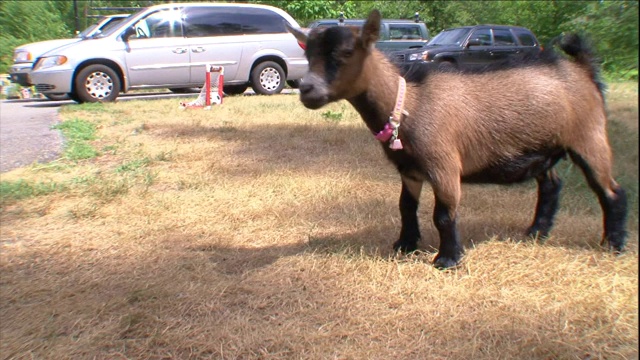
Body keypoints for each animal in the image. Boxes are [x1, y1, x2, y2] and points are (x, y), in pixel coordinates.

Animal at [284, 10, 624, 268]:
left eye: (344, 53)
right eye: (308, 54)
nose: (307, 90)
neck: (409, 101)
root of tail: (583, 70)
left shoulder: (443, 164)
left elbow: (444, 215)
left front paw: (447, 260)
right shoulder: (409, 168)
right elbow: (405, 206)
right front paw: (404, 245)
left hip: (589, 135)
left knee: (611, 191)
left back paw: (613, 245)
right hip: (545, 148)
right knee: (552, 185)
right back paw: (536, 233)